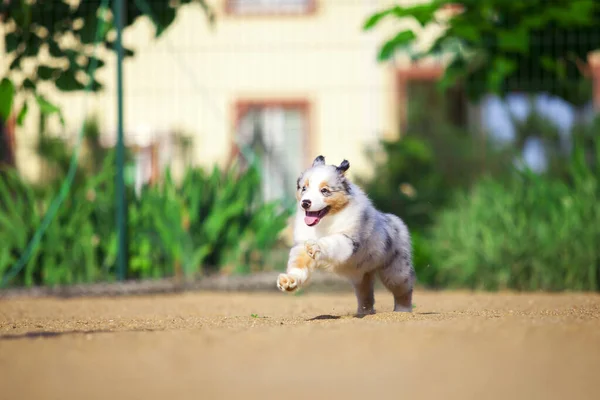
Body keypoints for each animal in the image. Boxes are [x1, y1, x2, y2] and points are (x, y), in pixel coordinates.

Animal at [278, 155, 414, 314]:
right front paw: (289, 281)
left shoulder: (348, 240)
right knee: (365, 294)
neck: (325, 221)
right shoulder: (300, 245)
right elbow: (298, 264)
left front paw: (317, 246)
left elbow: (331, 242)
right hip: (362, 276)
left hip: (395, 271)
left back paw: (402, 311)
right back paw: (364, 312)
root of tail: (396, 221)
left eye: (324, 190)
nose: (305, 203)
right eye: (304, 188)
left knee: (403, 290)